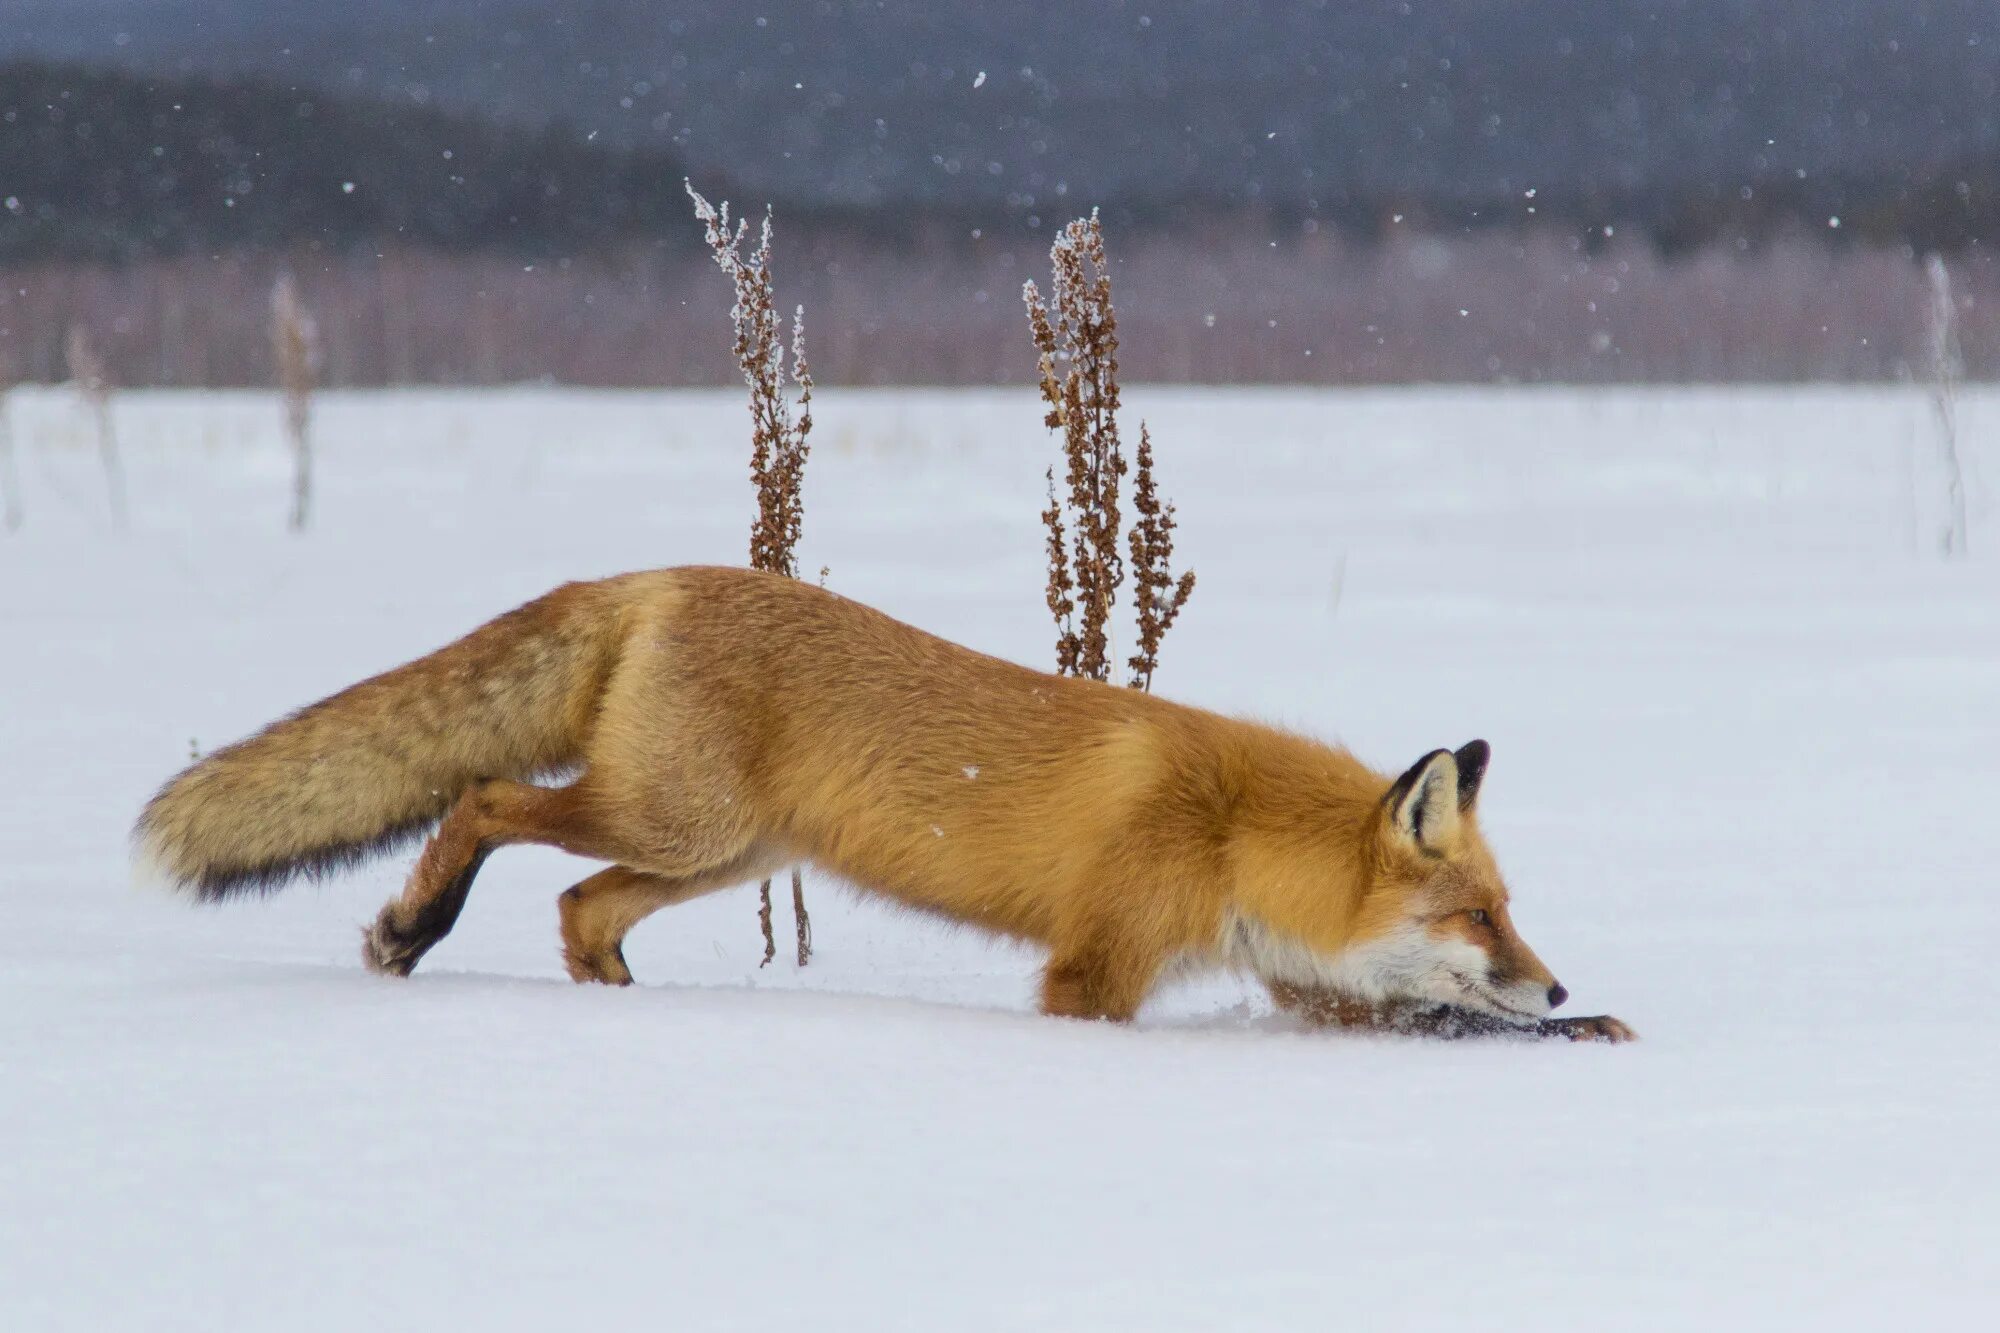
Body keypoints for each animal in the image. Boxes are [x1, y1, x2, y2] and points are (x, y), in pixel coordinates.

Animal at [145, 560, 1640, 1040]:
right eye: (1480, 915)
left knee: (579, 908)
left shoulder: (1290, 980)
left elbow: (1425, 1026)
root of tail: (655, 575)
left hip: (716, 854)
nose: (1559, 981)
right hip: (674, 825)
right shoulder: (1096, 969)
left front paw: (1584, 1035)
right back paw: (409, 931)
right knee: (483, 798)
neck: (1233, 834)